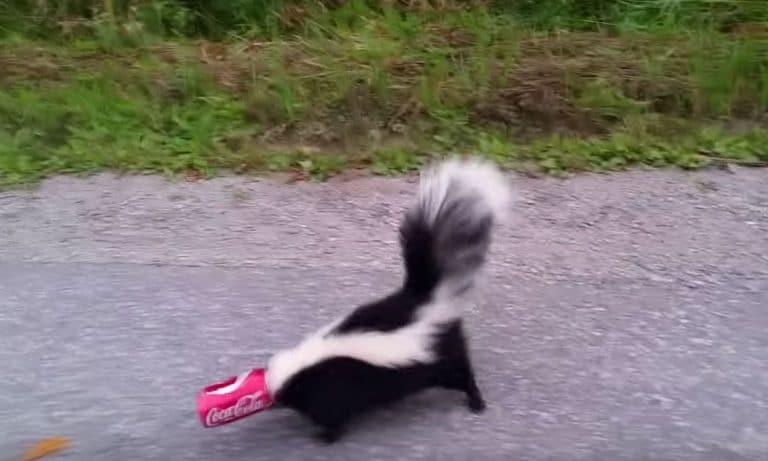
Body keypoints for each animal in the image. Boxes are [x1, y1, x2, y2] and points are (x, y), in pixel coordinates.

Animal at [262, 157, 510, 442]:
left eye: (282, 394)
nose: (271, 401)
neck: (305, 365)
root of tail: (424, 301)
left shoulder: (332, 388)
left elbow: (333, 416)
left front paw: (325, 437)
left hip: (440, 356)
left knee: (462, 374)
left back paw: (476, 401)